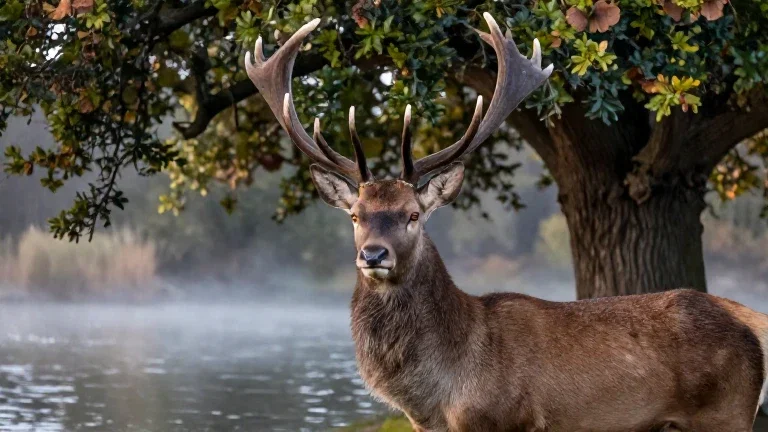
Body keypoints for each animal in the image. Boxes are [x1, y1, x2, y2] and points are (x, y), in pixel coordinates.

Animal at [245, 13, 768, 432]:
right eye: (355, 215)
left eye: (413, 215)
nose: (373, 254)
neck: (441, 398)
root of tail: (751, 322)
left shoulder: (508, 420)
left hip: (726, 413)